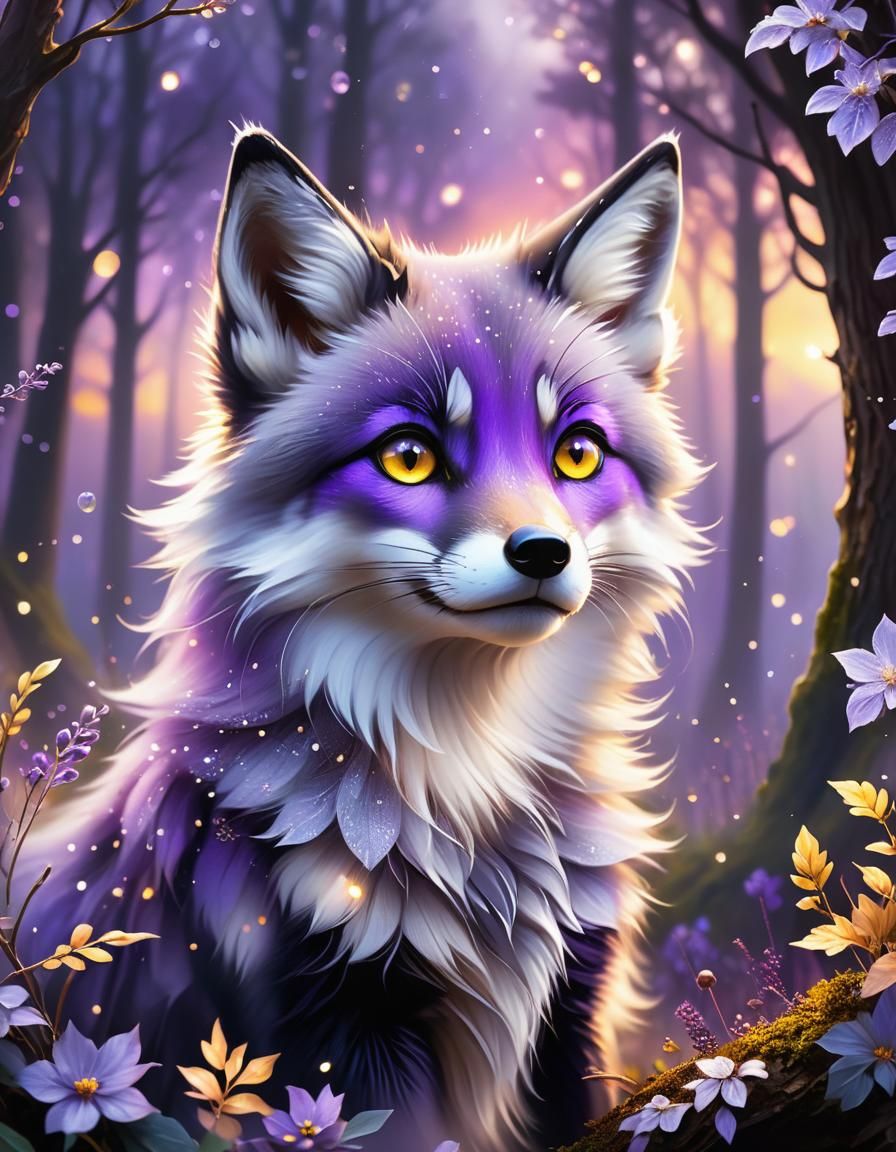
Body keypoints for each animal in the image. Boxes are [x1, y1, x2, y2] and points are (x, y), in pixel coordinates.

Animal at [27, 128, 704, 1152]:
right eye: (410, 456)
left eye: (578, 452)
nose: (543, 552)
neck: (470, 820)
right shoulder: (337, 1028)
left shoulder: (568, 1009)